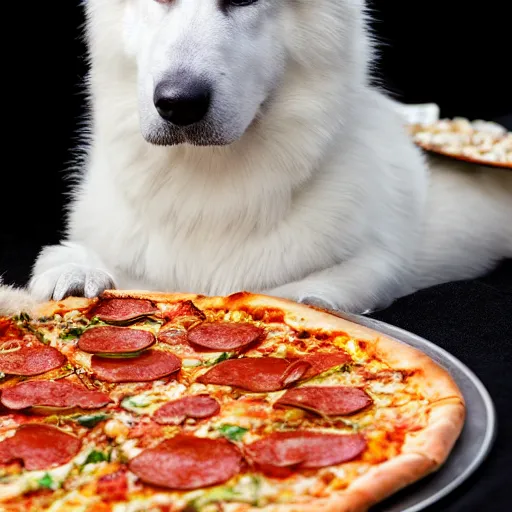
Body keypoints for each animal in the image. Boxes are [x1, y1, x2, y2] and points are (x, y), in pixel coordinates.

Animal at [8, 0, 512, 316]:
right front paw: (79, 275)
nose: (178, 104)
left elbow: (325, 287)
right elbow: (67, 260)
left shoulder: (372, 264)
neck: (209, 187)